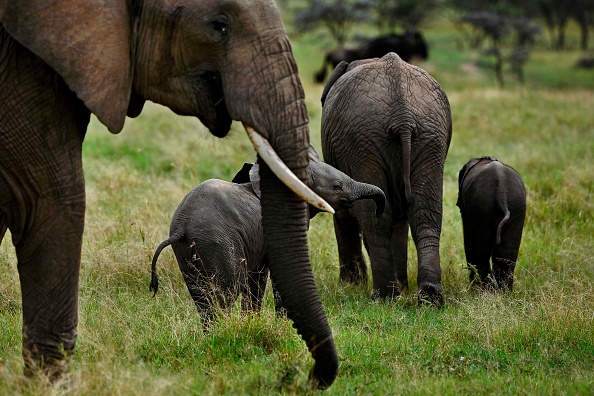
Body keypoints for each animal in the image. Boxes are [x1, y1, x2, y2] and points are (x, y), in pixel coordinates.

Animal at [146, 145, 382, 328]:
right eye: (337, 186)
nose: (380, 212)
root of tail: (182, 226)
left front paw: (253, 322)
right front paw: (279, 324)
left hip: (187, 250)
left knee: (200, 294)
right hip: (217, 243)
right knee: (226, 292)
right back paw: (225, 332)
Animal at [322, 53, 450, 306]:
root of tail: (403, 115)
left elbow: (344, 214)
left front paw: (349, 286)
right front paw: (402, 286)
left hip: (361, 142)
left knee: (375, 218)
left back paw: (383, 297)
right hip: (428, 137)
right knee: (425, 213)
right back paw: (429, 297)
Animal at [456, 156, 524, 290]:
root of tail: (501, 191)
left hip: (481, 206)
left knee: (481, 249)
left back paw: (484, 290)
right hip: (514, 205)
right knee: (507, 252)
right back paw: (503, 292)